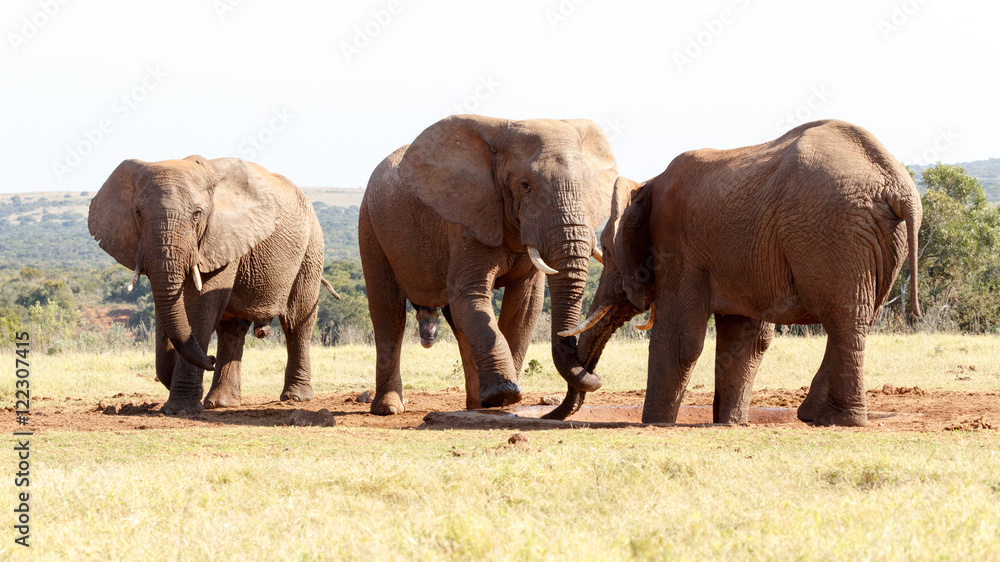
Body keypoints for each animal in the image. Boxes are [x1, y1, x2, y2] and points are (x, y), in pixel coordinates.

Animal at [88, 156, 340, 414]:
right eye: (138, 213)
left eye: (197, 214)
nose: (210, 359)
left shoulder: (221, 237)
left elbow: (201, 307)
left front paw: (181, 410)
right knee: (232, 329)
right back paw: (221, 403)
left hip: (311, 247)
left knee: (296, 322)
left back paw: (295, 397)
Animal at [359, 114, 617, 414]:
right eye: (525, 185)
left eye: (586, 186)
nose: (596, 377)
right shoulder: (465, 219)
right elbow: (471, 295)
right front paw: (504, 395)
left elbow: (524, 306)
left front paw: (500, 400)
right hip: (370, 225)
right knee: (388, 312)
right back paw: (389, 408)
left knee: (456, 321)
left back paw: (475, 405)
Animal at [561, 120, 922, 426]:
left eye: (606, 249)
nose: (554, 415)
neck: (648, 183)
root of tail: (897, 184)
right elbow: (745, 341)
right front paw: (729, 424)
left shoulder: (678, 243)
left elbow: (679, 339)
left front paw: (654, 423)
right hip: (876, 238)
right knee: (856, 320)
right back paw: (820, 416)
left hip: (836, 231)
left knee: (844, 319)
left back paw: (835, 419)